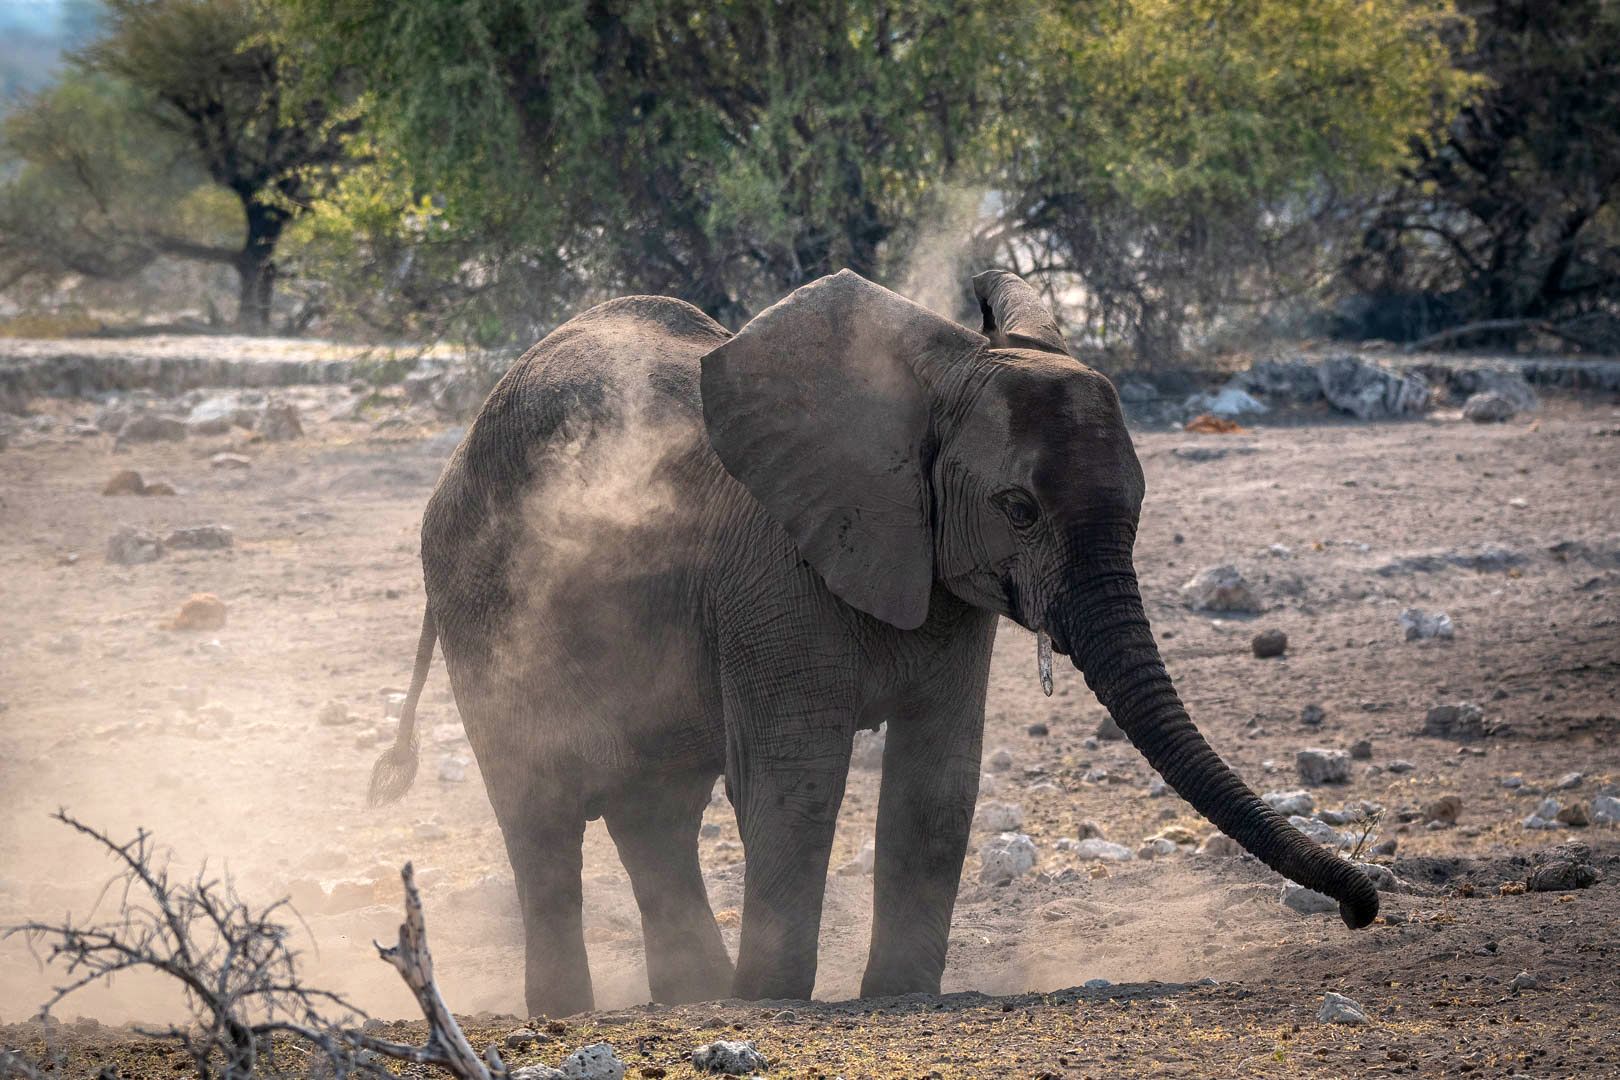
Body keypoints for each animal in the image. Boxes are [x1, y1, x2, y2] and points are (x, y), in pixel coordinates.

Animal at [370, 265, 1380, 1016]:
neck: (929, 385)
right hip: (483, 601)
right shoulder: (775, 574)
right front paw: (774, 1002)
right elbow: (797, 781)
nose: (1362, 907)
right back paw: (581, 1012)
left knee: (656, 808)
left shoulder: (942, 574)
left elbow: (938, 785)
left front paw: (895, 996)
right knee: (541, 807)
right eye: (1017, 508)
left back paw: (692, 1000)